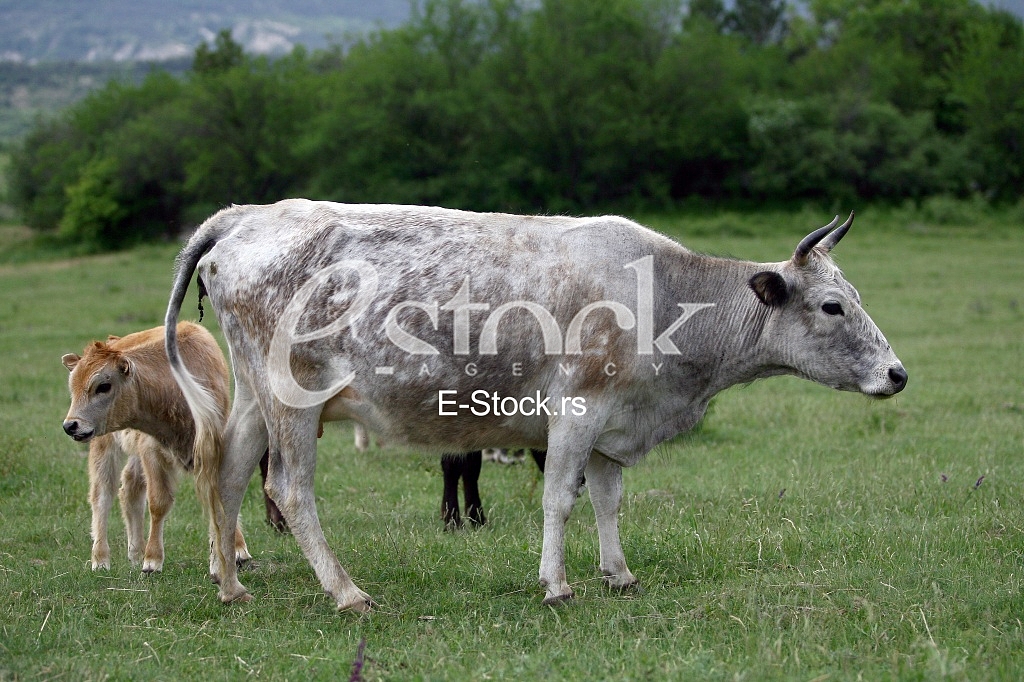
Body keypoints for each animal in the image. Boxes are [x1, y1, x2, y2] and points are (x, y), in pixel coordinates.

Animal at [61, 324, 281, 572]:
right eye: (73, 388)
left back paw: (135, 553)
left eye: (104, 386)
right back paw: (101, 560)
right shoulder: (152, 452)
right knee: (102, 496)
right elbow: (158, 502)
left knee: (129, 489)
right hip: (104, 447)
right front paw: (152, 561)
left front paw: (237, 551)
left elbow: (221, 498)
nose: (70, 426)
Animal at [163, 200, 907, 611]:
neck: (664, 299)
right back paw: (345, 592)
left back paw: (229, 584)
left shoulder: (613, 423)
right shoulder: (575, 412)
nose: (897, 374)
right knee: (289, 488)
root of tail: (247, 215)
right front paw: (557, 584)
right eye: (832, 306)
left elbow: (607, 500)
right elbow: (560, 500)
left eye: (855, 296)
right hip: (294, 399)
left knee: (227, 474)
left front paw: (618, 573)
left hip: (255, 397)